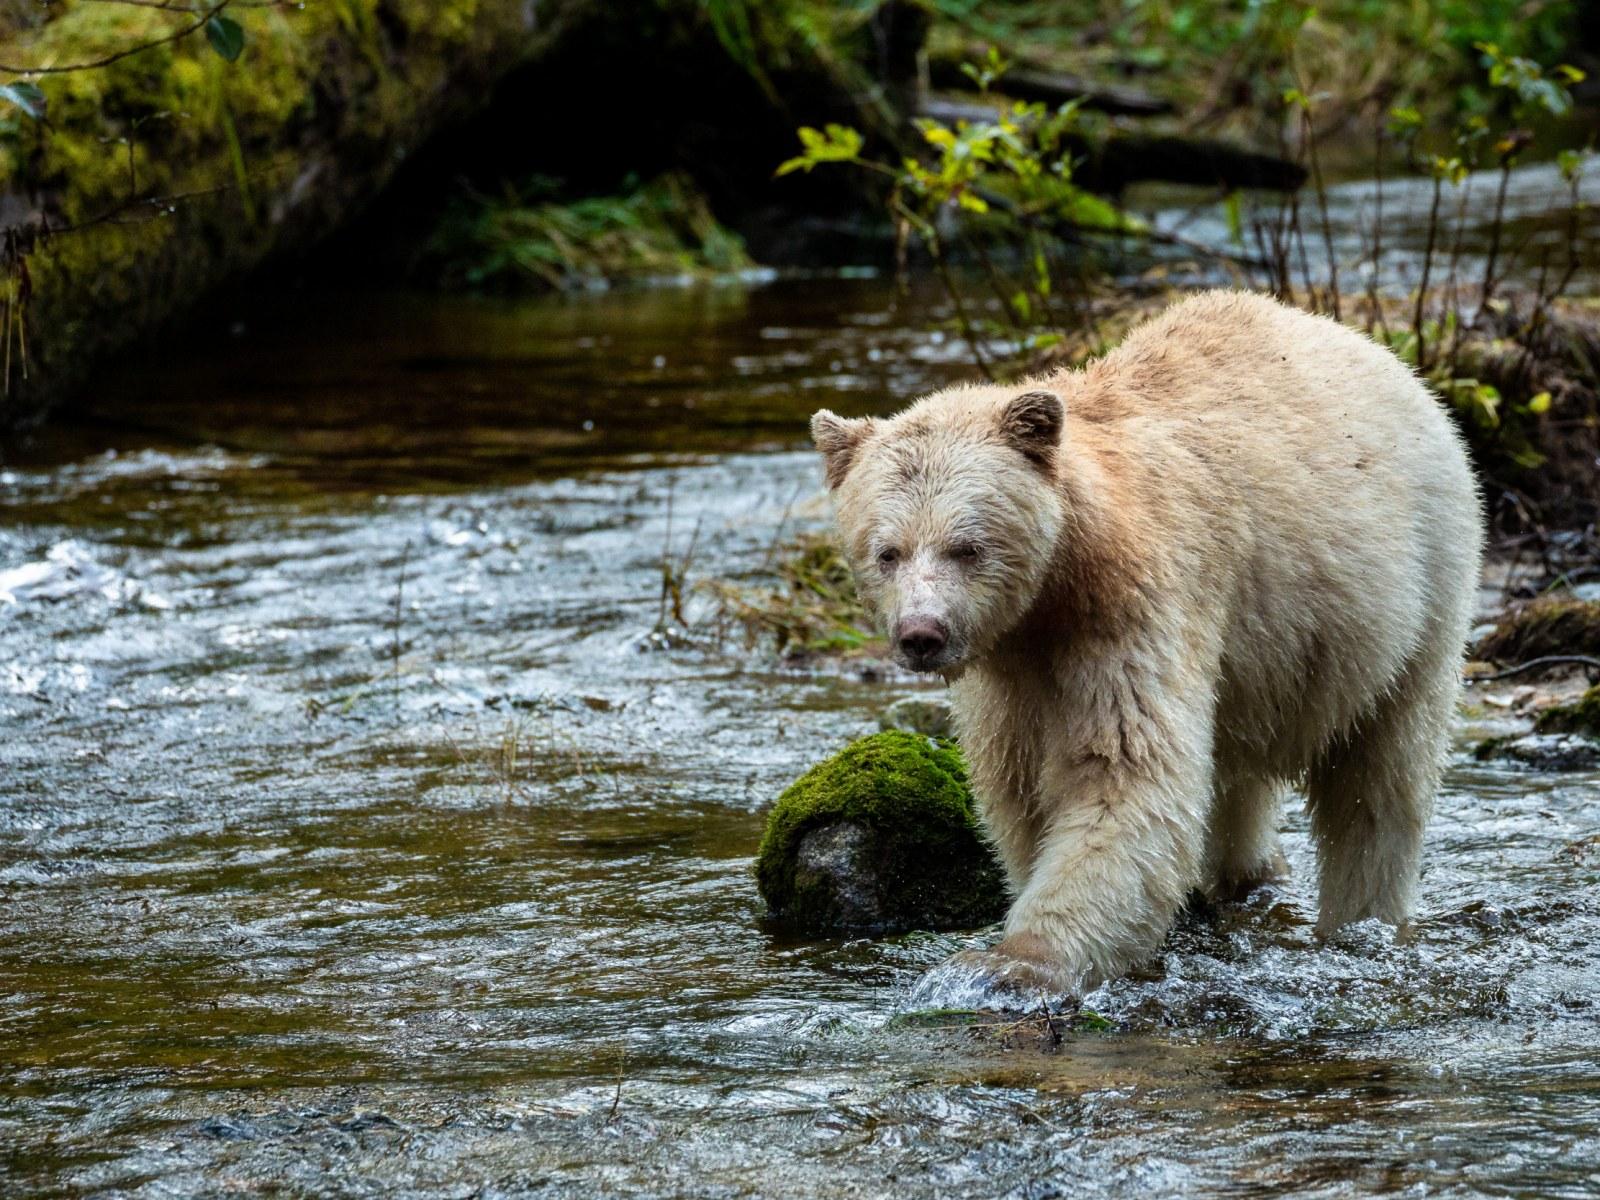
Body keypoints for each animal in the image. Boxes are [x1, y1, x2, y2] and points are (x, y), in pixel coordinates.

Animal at [810, 290, 1483, 1002]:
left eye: (967, 547)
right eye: (887, 551)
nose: (922, 635)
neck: (1054, 593)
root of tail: (1370, 348)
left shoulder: (1137, 607)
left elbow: (1124, 774)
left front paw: (1012, 963)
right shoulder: (1007, 673)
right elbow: (1021, 789)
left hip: (1415, 591)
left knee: (1380, 779)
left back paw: (1362, 920)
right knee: (1237, 778)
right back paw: (1250, 878)